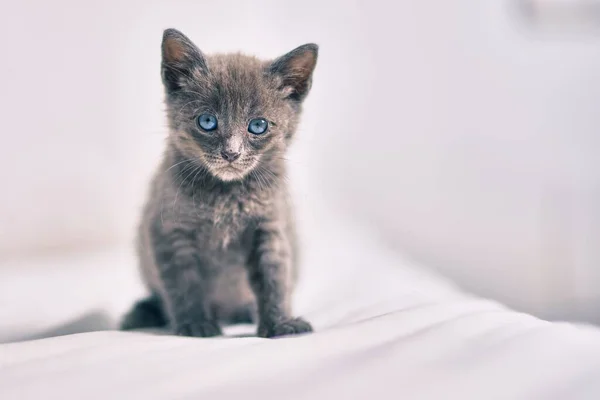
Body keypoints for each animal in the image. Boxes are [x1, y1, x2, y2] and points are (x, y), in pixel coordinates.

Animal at [119, 28, 316, 338]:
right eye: (207, 121)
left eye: (258, 126)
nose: (231, 153)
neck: (226, 195)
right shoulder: (169, 229)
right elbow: (184, 282)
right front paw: (195, 324)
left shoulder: (270, 225)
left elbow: (274, 276)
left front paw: (279, 324)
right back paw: (142, 313)